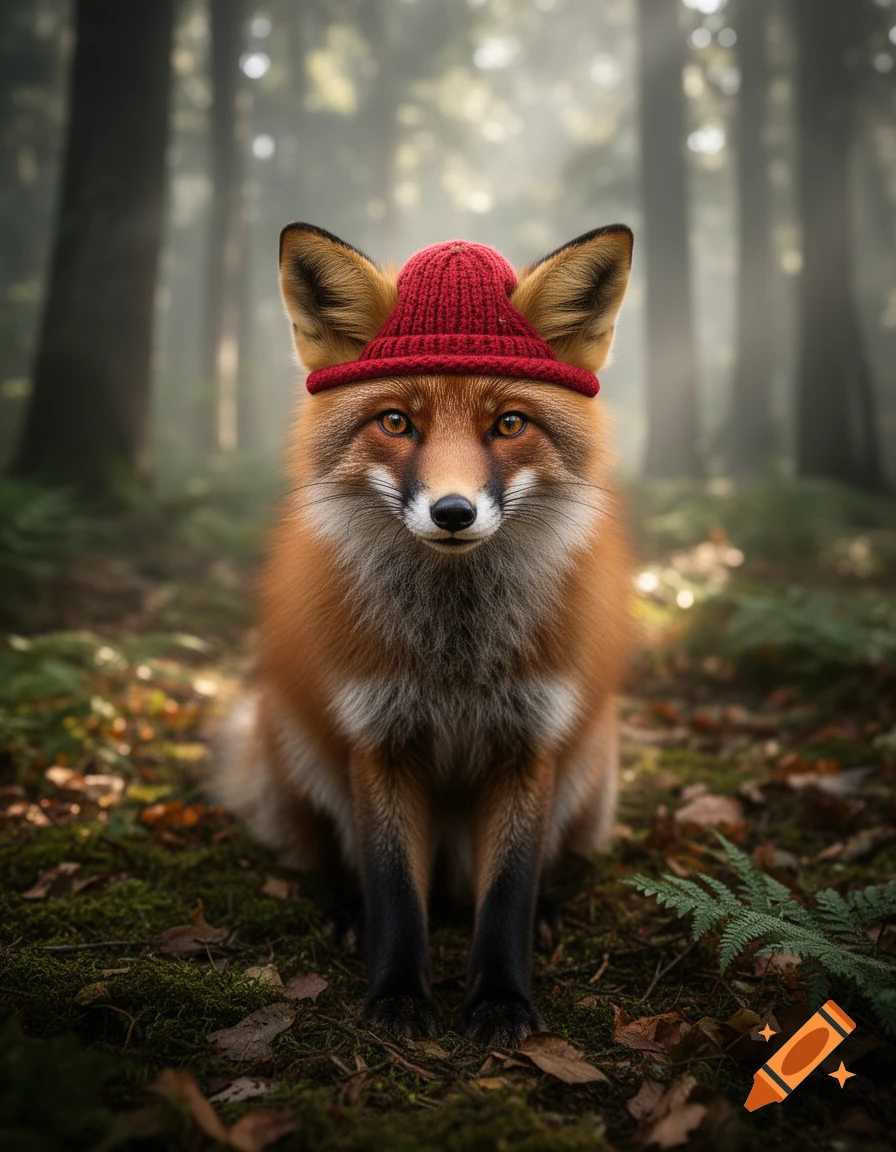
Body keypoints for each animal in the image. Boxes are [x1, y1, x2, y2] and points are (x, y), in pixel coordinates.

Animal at [215, 222, 633, 1047]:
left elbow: (507, 894)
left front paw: (502, 1000)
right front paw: (398, 995)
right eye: (396, 422)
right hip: (298, 744)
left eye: (509, 424)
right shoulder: (378, 737)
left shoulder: (528, 743)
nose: (453, 512)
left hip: (590, 760)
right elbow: (391, 891)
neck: (454, 661)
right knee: (337, 859)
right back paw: (345, 911)